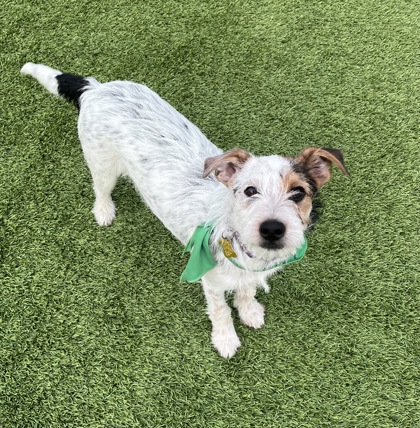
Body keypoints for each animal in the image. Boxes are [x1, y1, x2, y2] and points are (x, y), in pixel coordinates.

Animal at [21, 62, 348, 358]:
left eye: (298, 193)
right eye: (249, 191)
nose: (272, 229)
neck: (241, 245)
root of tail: (97, 88)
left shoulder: (247, 273)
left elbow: (246, 290)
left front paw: (250, 310)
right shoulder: (211, 282)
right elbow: (220, 310)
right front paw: (225, 339)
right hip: (101, 164)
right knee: (100, 188)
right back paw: (103, 211)